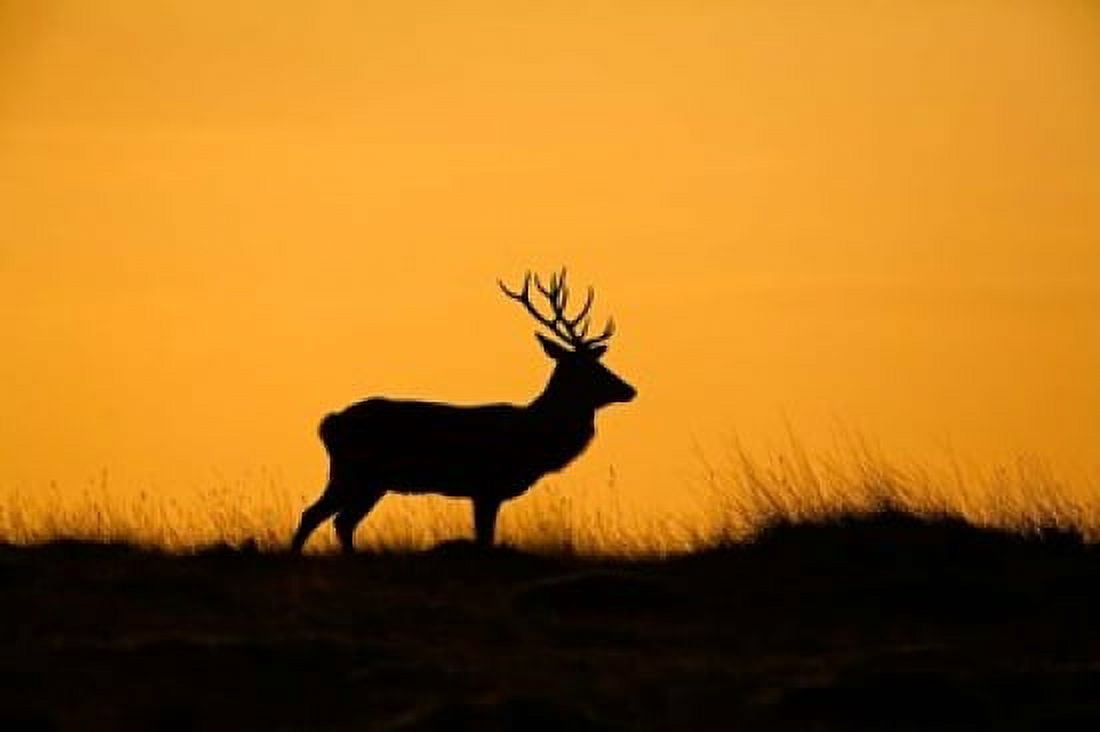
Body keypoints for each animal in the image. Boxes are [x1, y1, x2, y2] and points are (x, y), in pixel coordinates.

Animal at [290, 269, 637, 554]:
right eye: (589, 368)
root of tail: (328, 423)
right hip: (356, 471)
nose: (630, 389)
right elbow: (484, 539)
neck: (533, 437)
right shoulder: (486, 485)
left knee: (340, 521)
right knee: (317, 515)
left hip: (369, 480)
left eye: (599, 362)